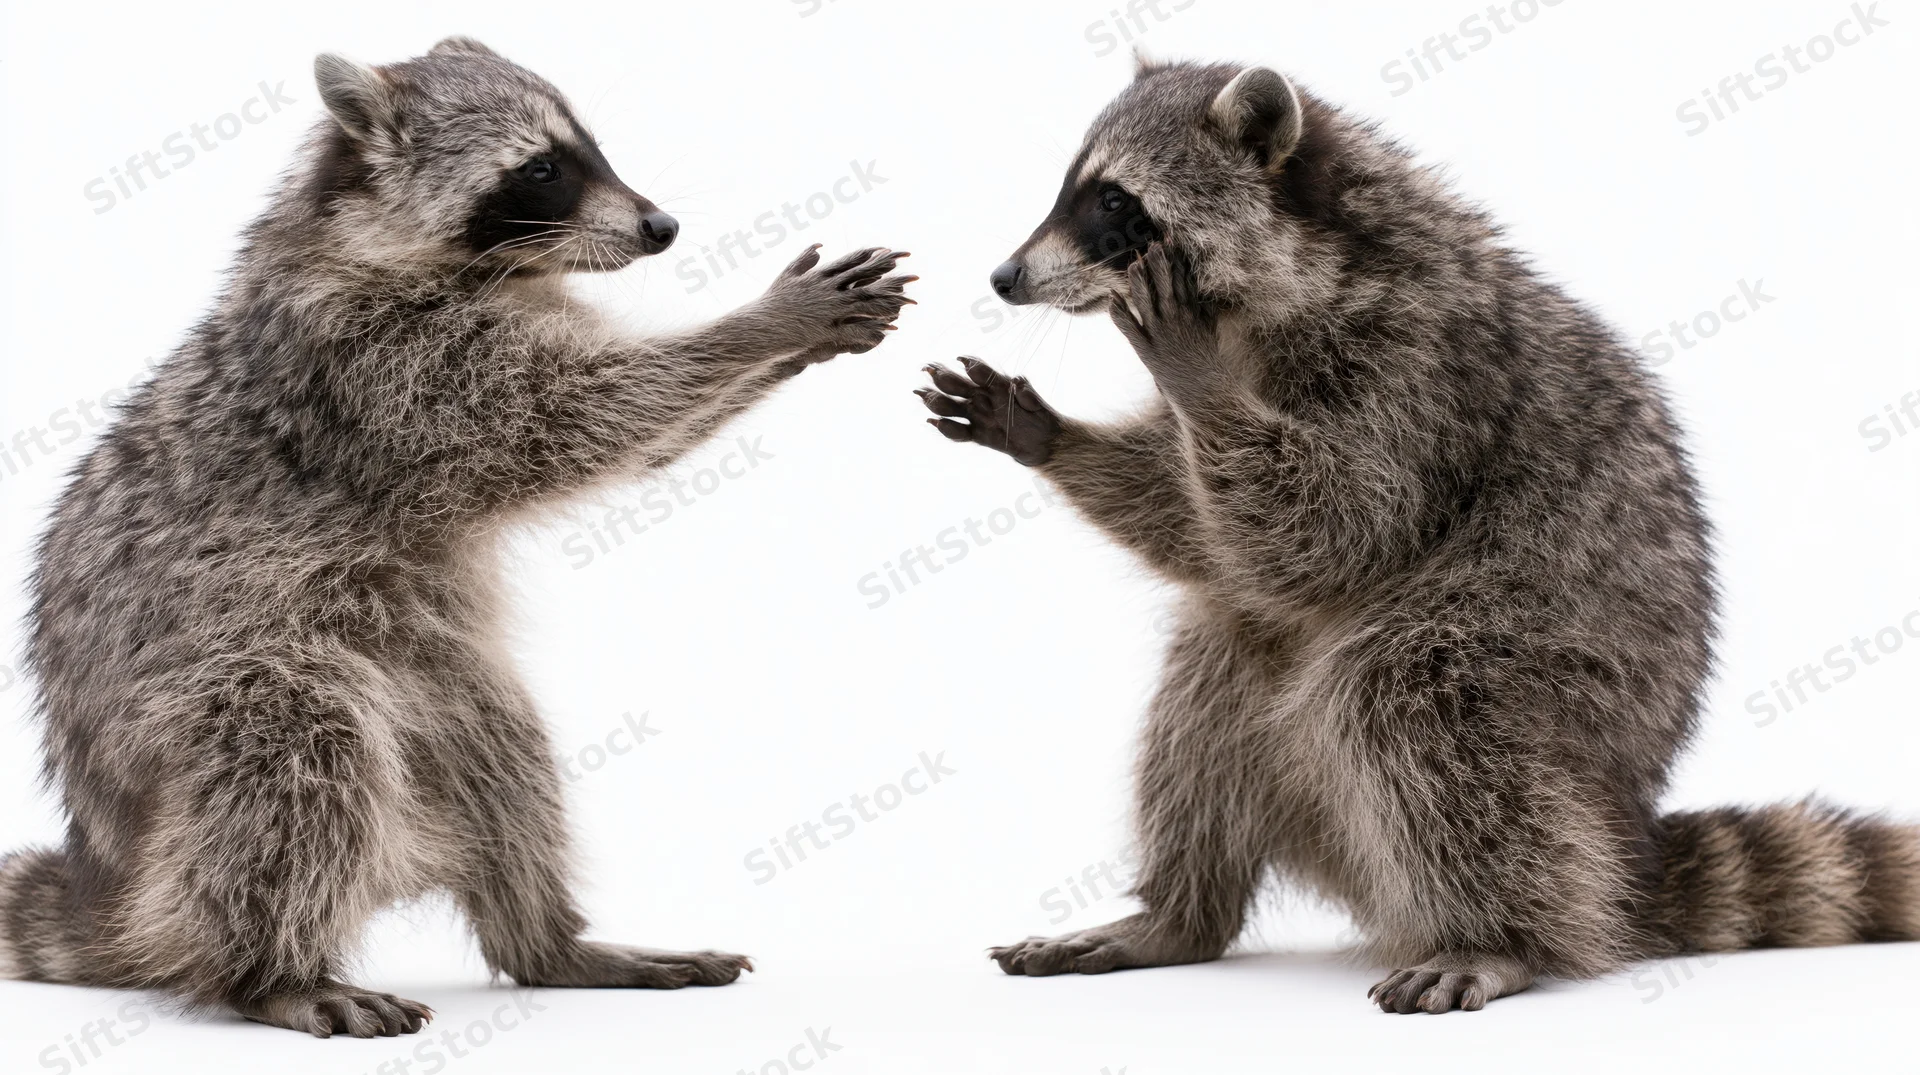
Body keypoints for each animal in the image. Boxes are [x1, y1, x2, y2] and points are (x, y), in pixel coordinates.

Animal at [0, 38, 913, 1037]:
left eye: (592, 149)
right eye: (542, 169)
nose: (662, 226)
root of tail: (111, 862)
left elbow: (638, 435)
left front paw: (786, 347)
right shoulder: (373, 370)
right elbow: (573, 419)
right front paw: (754, 325)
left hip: (436, 679)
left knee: (506, 758)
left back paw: (546, 939)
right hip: (195, 708)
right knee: (296, 752)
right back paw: (270, 970)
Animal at [921, 58, 1919, 1012]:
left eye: (1113, 202)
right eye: (1074, 188)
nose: (1004, 278)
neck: (1291, 276)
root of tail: (1621, 820)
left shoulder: (1420, 367)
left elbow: (1342, 526)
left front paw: (1190, 374)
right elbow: (1203, 522)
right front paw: (1052, 433)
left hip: (1564, 663)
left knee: (1413, 701)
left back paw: (1497, 934)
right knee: (1211, 684)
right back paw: (1178, 912)